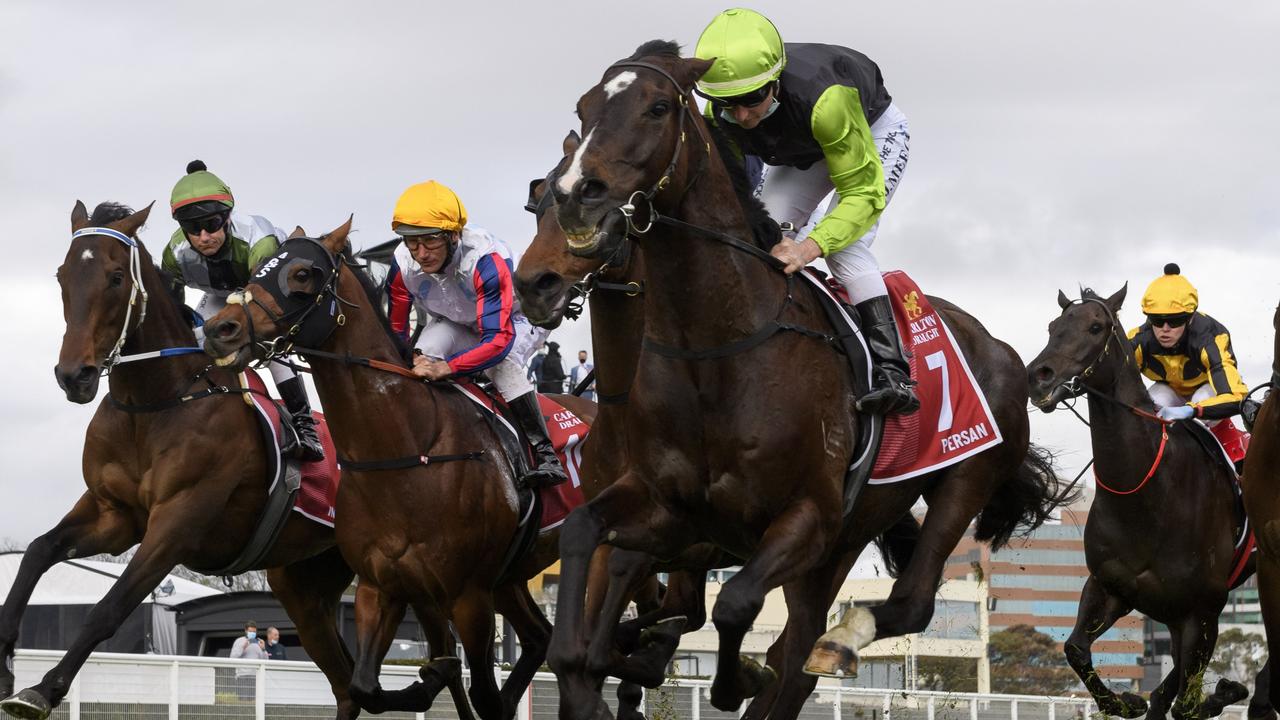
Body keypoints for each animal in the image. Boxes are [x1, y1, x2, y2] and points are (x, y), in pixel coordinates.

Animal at [0, 202, 358, 717]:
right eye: (61, 275)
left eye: (115, 277)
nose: (74, 376)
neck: (157, 402)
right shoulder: (114, 514)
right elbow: (37, 551)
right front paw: (6, 662)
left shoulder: (179, 520)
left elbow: (109, 607)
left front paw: (43, 689)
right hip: (307, 581)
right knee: (349, 680)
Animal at [199, 220, 599, 717]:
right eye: (256, 271)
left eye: (303, 274)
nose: (221, 329)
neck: (406, 451)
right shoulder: (382, 586)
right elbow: (365, 686)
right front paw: (428, 679)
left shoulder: (469, 596)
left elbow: (481, 694)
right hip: (510, 577)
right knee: (539, 637)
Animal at [514, 40, 1064, 717]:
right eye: (585, 106)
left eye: (658, 107)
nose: (575, 196)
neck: (718, 352)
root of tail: (1002, 348)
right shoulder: (671, 511)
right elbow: (585, 544)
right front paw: (591, 662)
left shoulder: (804, 516)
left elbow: (732, 606)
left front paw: (730, 678)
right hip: (844, 540)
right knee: (796, 652)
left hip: (960, 482)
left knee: (900, 606)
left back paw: (844, 638)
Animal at [1024, 284, 1254, 717]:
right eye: (1051, 326)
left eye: (1095, 327)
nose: (1038, 378)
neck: (1149, 497)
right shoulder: (1110, 586)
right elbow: (1075, 648)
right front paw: (1126, 701)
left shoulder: (1203, 612)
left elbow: (1186, 703)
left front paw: (1224, 692)